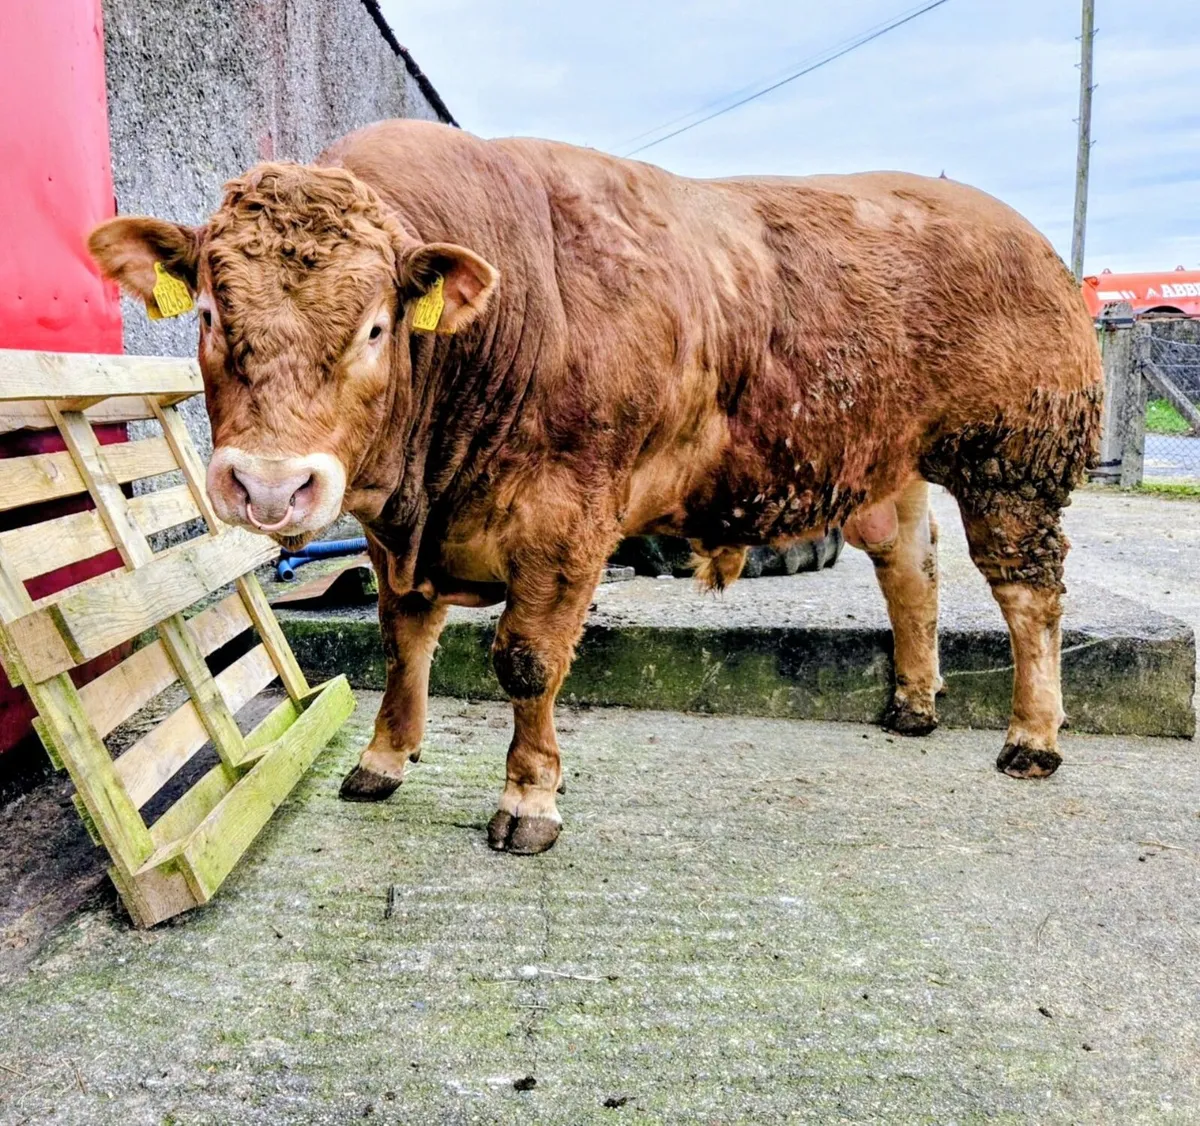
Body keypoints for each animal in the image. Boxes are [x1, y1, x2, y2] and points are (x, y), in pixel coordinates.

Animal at [88, 119, 1102, 856]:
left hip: (1014, 461)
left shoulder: (566, 518)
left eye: (377, 326)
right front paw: (383, 758)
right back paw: (914, 704)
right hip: (889, 461)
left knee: (1028, 595)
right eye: (208, 313)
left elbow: (527, 659)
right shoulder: (399, 534)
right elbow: (402, 638)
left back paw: (1032, 739)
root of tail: (1019, 233)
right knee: (911, 570)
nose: (270, 483)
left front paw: (530, 795)